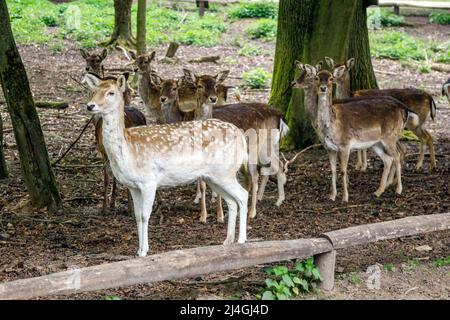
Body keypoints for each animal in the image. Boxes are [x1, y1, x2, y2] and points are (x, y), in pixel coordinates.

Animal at [84, 73, 250, 258]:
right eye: (94, 91)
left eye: (111, 92)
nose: (90, 106)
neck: (128, 149)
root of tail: (241, 137)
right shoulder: (133, 185)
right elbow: (137, 216)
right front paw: (138, 250)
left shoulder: (149, 181)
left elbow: (145, 216)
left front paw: (144, 251)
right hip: (214, 176)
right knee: (232, 201)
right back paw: (227, 241)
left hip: (225, 172)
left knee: (243, 195)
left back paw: (241, 240)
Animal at [312, 70, 416, 202]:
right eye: (316, 78)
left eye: (330, 78)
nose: (323, 88)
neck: (331, 126)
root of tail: (401, 109)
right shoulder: (329, 148)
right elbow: (333, 170)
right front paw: (332, 196)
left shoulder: (345, 145)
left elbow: (343, 171)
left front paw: (345, 197)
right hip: (377, 143)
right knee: (388, 159)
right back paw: (378, 191)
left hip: (390, 137)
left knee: (397, 155)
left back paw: (398, 190)